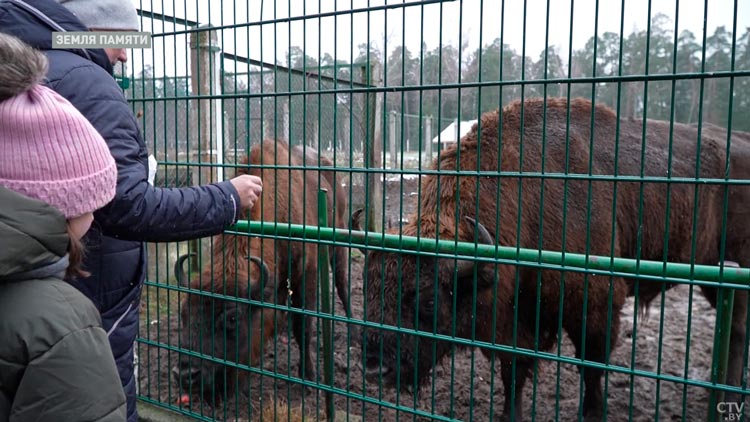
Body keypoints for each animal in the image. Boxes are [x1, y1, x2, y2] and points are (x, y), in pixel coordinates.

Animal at [173, 139, 356, 402]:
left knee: (342, 285)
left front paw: (308, 378)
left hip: (338, 245)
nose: (186, 374)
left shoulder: (306, 274)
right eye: (184, 314)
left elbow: (303, 326)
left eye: (232, 318)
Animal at [352, 97, 750, 420]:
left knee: (737, 331)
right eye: (369, 290)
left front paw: (592, 413)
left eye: (429, 300)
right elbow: (513, 371)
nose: (374, 369)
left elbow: (591, 367)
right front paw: (509, 415)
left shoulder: (594, 305)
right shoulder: (515, 319)